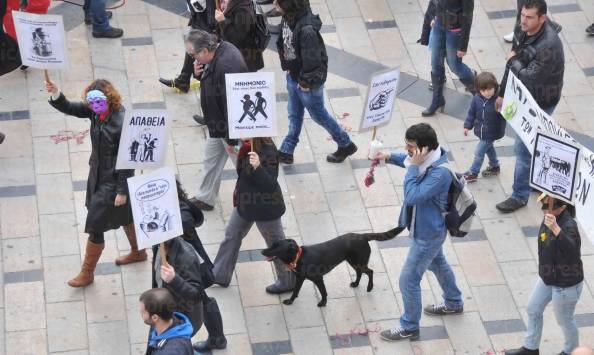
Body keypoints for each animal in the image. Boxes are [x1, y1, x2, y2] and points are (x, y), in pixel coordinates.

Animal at [260, 228, 402, 308]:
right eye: (272, 244)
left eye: (276, 247)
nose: (261, 251)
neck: (298, 257)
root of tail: (362, 236)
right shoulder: (299, 278)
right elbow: (295, 291)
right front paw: (290, 301)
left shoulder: (318, 279)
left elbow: (323, 292)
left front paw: (323, 303)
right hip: (353, 262)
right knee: (359, 273)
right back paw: (356, 284)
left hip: (359, 262)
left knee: (370, 272)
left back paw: (369, 287)